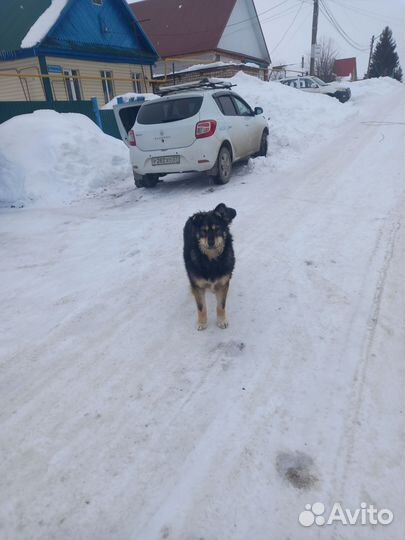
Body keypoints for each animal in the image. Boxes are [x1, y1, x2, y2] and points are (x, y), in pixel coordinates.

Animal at [184, 202, 237, 330]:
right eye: (204, 231)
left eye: (217, 229)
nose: (211, 242)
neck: (211, 260)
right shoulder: (198, 286)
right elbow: (201, 307)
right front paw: (202, 323)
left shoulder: (224, 283)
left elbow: (221, 305)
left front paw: (221, 321)